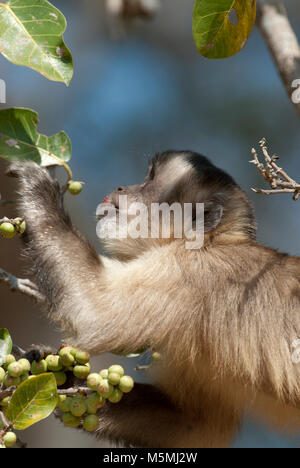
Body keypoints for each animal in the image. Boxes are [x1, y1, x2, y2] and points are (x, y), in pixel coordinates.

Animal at [6, 151, 300, 450]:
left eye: (149, 180)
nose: (122, 187)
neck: (215, 240)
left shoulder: (189, 270)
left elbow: (97, 314)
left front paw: (39, 185)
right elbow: (196, 426)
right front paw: (63, 378)